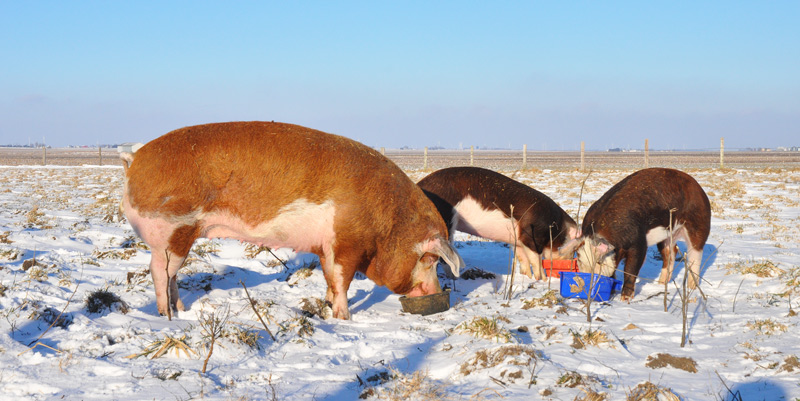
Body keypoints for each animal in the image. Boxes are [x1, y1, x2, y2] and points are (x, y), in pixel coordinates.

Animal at [119, 121, 463, 320]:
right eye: (431, 259)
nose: (437, 292)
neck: (388, 225)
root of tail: (135, 159)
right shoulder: (346, 242)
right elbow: (343, 280)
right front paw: (344, 318)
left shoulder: (326, 244)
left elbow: (329, 277)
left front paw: (325, 307)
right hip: (172, 230)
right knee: (160, 272)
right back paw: (166, 315)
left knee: (169, 275)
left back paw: (180, 311)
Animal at [417, 167, 579, 280]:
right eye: (573, 249)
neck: (556, 227)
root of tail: (420, 184)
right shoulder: (531, 236)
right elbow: (536, 261)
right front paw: (542, 280)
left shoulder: (518, 240)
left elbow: (523, 260)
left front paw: (527, 277)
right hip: (446, 219)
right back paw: (455, 277)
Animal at [574, 168, 711, 300]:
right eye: (579, 261)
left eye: (599, 262)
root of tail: (698, 187)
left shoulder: (639, 243)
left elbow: (630, 269)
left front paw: (625, 299)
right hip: (667, 236)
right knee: (670, 253)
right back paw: (661, 284)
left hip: (699, 225)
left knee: (695, 255)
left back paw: (691, 288)